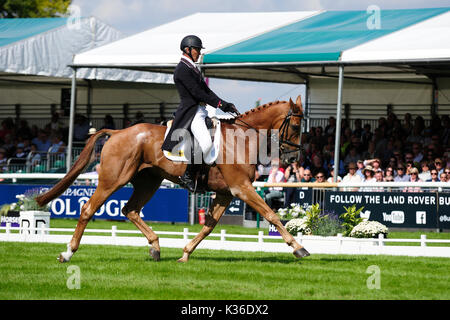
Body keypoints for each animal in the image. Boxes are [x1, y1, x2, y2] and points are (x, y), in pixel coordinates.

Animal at [36, 94, 310, 262]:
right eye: (296, 127)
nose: (291, 159)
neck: (242, 139)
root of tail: (117, 132)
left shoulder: (226, 191)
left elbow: (209, 226)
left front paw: (185, 253)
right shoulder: (241, 188)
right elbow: (271, 215)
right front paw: (299, 248)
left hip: (149, 182)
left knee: (130, 209)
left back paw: (155, 247)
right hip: (112, 180)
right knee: (88, 209)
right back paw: (68, 253)